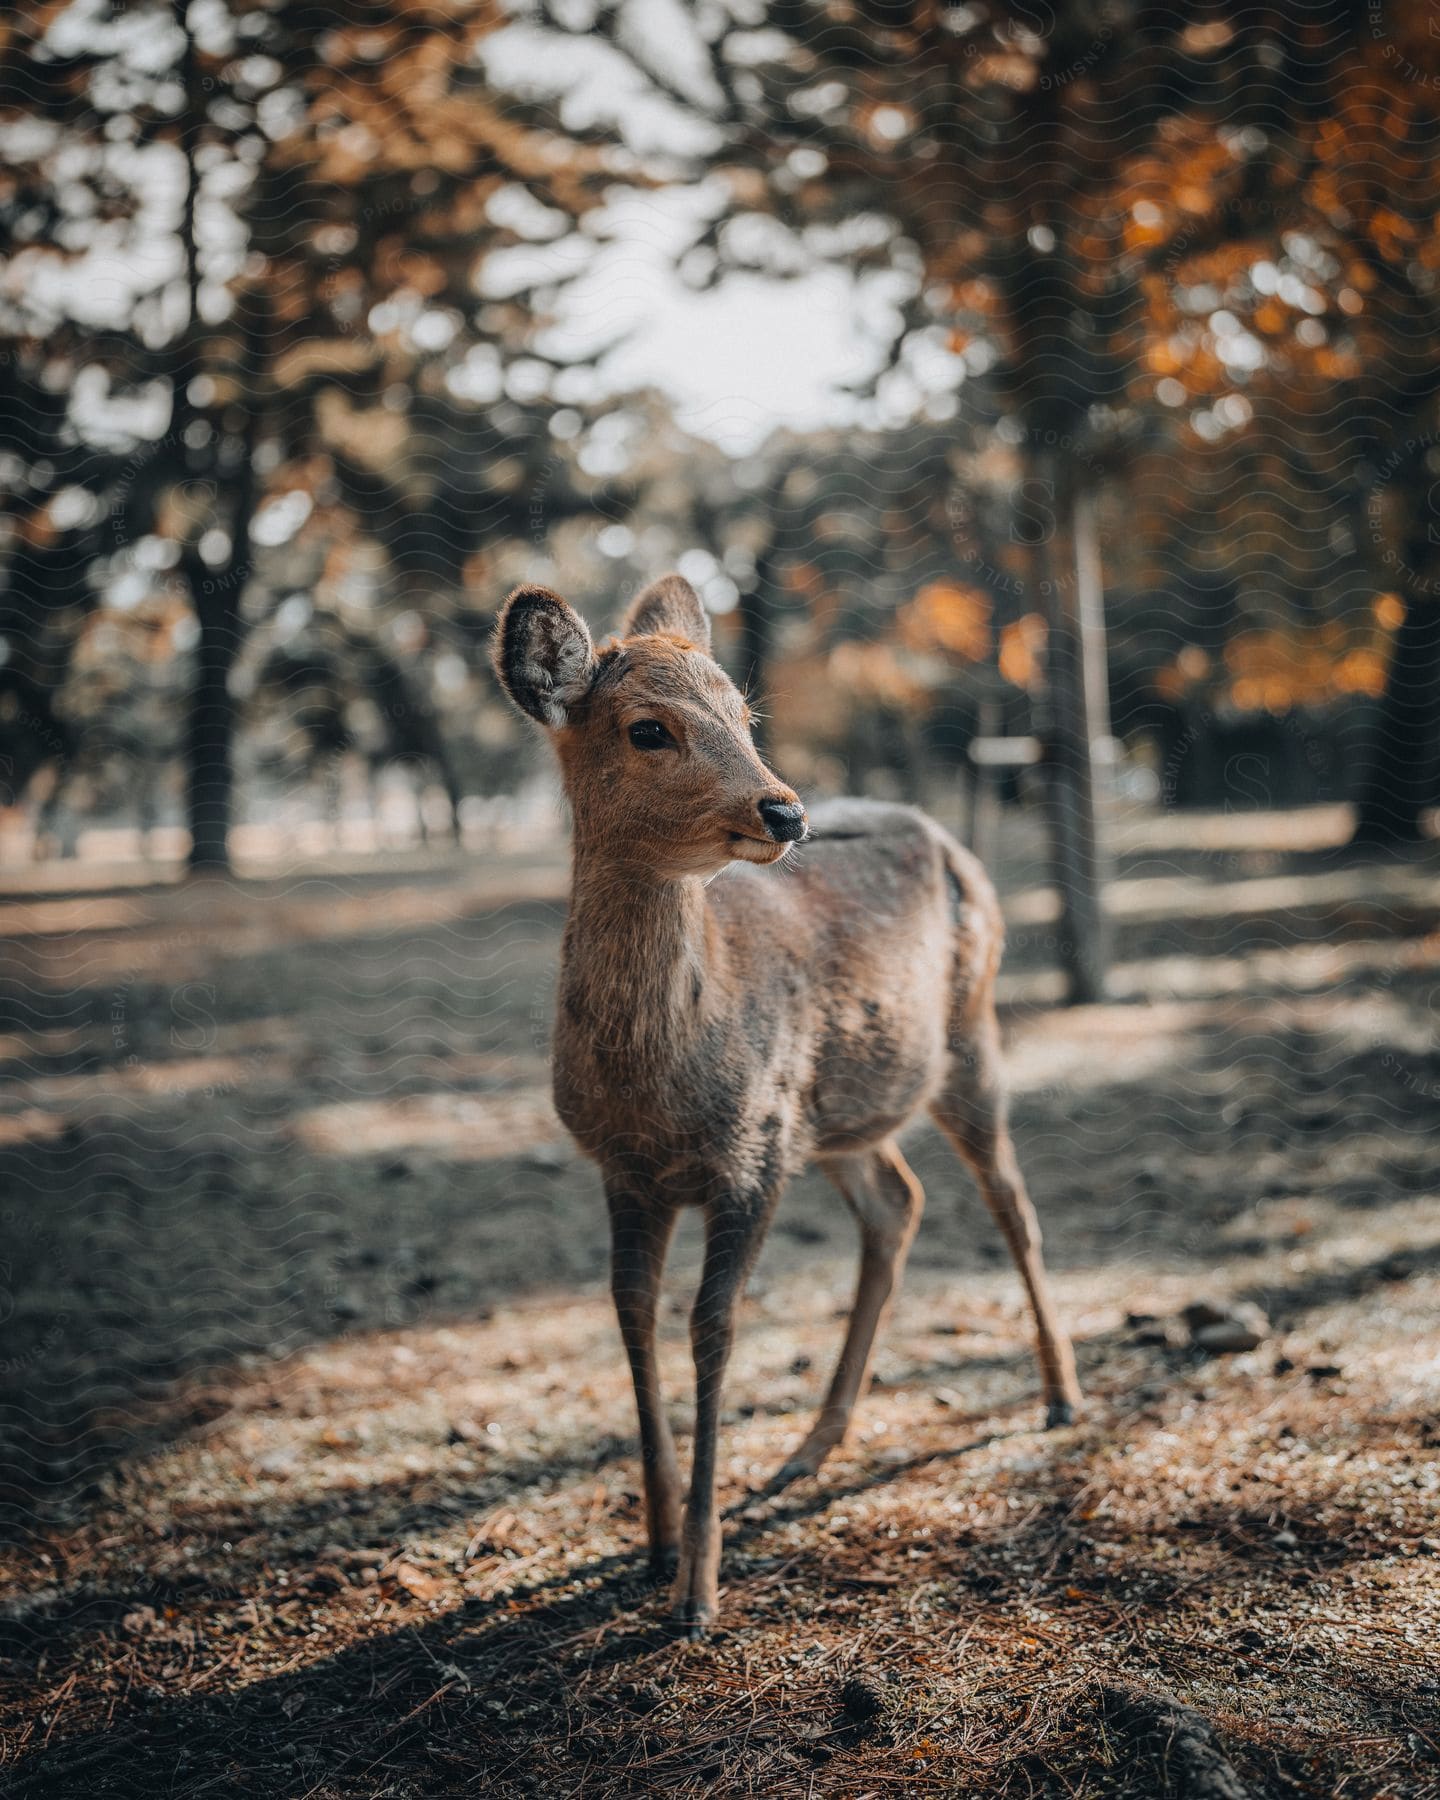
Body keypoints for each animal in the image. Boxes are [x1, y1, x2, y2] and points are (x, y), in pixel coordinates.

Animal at [496, 572, 1080, 1634]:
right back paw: (810, 1449)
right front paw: (652, 1545)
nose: (785, 812)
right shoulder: (623, 1169)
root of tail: (950, 839)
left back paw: (1061, 1396)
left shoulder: (752, 1154)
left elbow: (712, 1328)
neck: (663, 1089)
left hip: (968, 1037)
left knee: (1011, 1203)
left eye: (744, 713)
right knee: (898, 1204)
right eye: (649, 729)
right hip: (839, 1112)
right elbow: (631, 1311)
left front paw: (697, 1588)